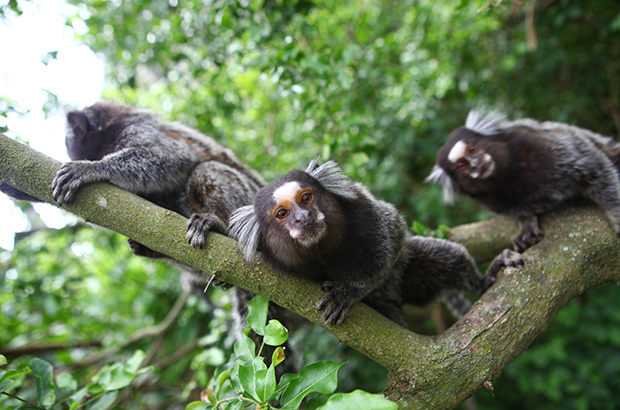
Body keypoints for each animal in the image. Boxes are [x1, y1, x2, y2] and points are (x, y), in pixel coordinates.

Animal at [228, 160, 520, 326]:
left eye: (306, 198)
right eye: (282, 214)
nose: (303, 218)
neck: (320, 250)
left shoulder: (363, 210)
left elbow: (391, 242)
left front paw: (349, 291)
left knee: (446, 258)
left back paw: (486, 279)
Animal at [428, 111, 620, 253]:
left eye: (472, 149)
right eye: (461, 165)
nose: (476, 164)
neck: (507, 175)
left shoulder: (542, 146)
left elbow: (594, 170)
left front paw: (616, 212)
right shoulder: (490, 199)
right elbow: (517, 210)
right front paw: (527, 222)